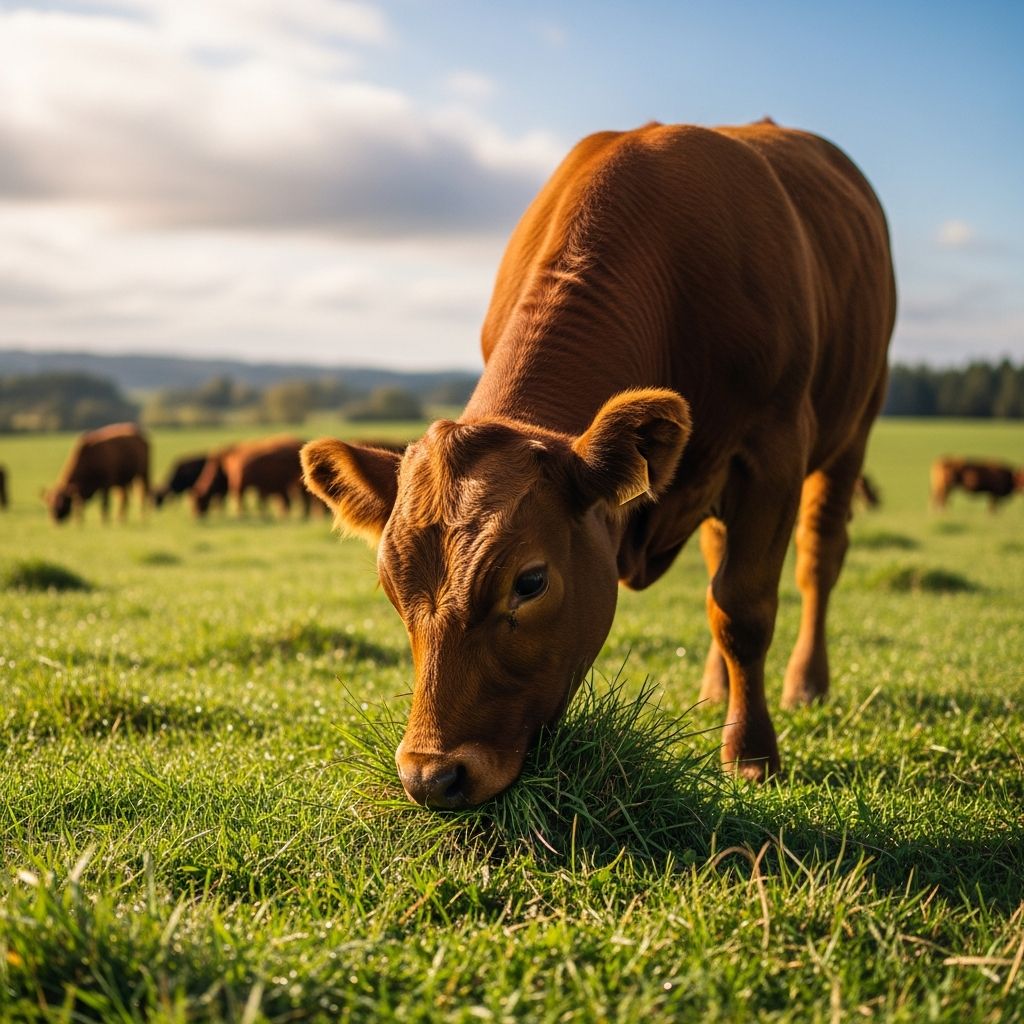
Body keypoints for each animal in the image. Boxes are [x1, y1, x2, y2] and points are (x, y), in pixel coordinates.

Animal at [302, 119, 896, 807]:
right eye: (390, 586)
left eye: (530, 581)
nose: (431, 775)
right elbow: (725, 595)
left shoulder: (772, 449)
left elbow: (744, 609)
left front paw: (751, 757)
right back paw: (716, 690)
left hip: (855, 423)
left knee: (818, 556)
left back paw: (805, 684)